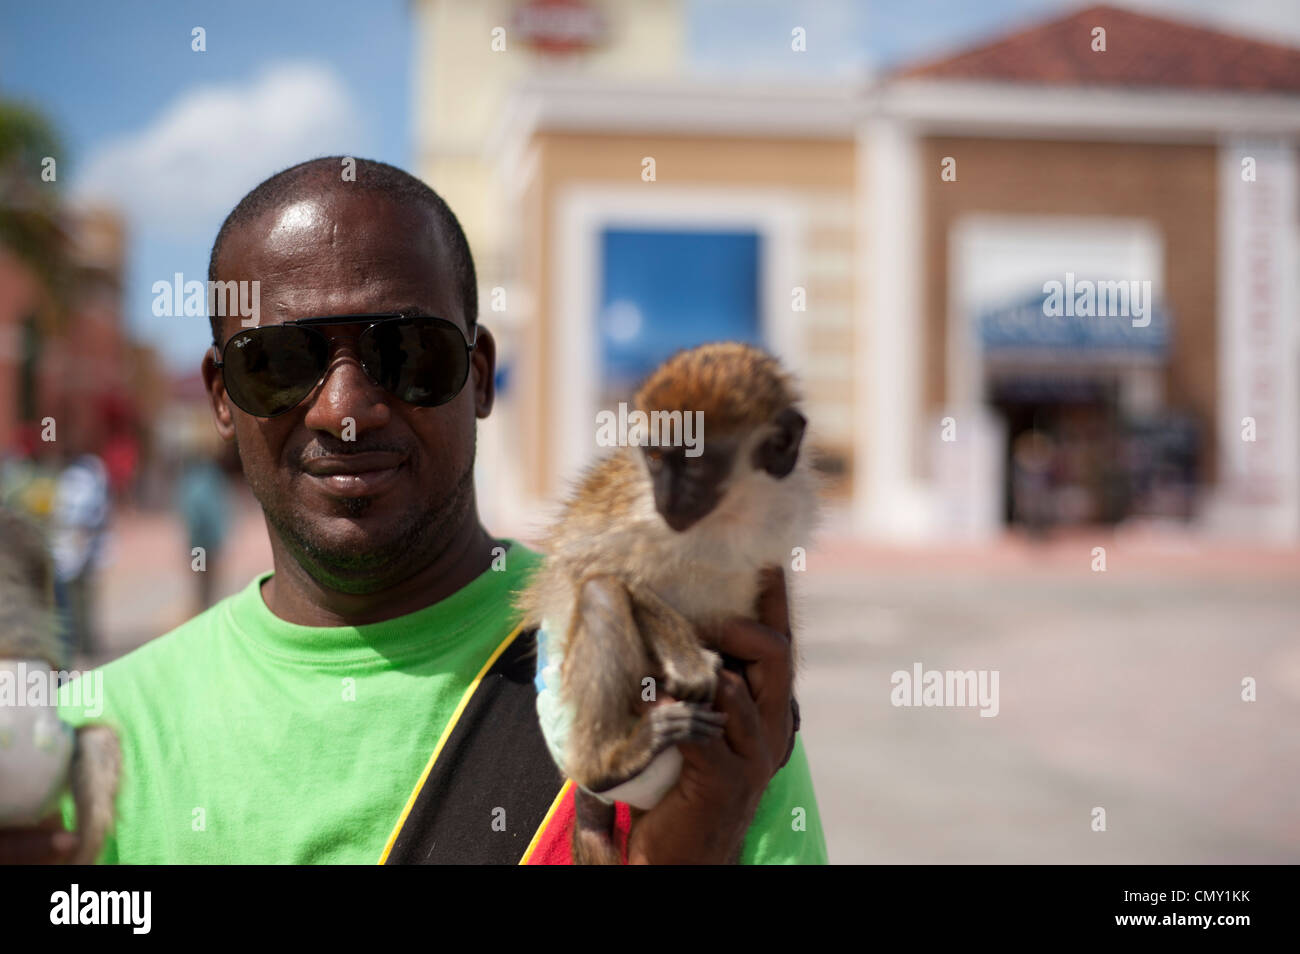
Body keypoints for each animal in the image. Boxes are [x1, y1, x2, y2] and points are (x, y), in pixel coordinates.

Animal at [517, 342, 819, 864]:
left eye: (693, 461)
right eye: (656, 459)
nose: (667, 497)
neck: (726, 516)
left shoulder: (781, 510)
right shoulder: (636, 514)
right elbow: (585, 569)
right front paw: (691, 663)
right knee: (600, 593)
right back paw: (610, 764)